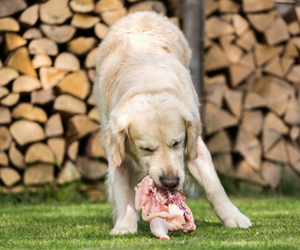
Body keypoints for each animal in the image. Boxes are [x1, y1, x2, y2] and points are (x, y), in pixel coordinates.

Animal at [93, 11, 251, 234]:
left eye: (177, 143)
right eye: (146, 149)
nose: (170, 181)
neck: (148, 82)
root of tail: (142, 13)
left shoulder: (194, 144)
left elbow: (214, 186)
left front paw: (234, 217)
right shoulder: (116, 149)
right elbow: (122, 192)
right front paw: (125, 225)